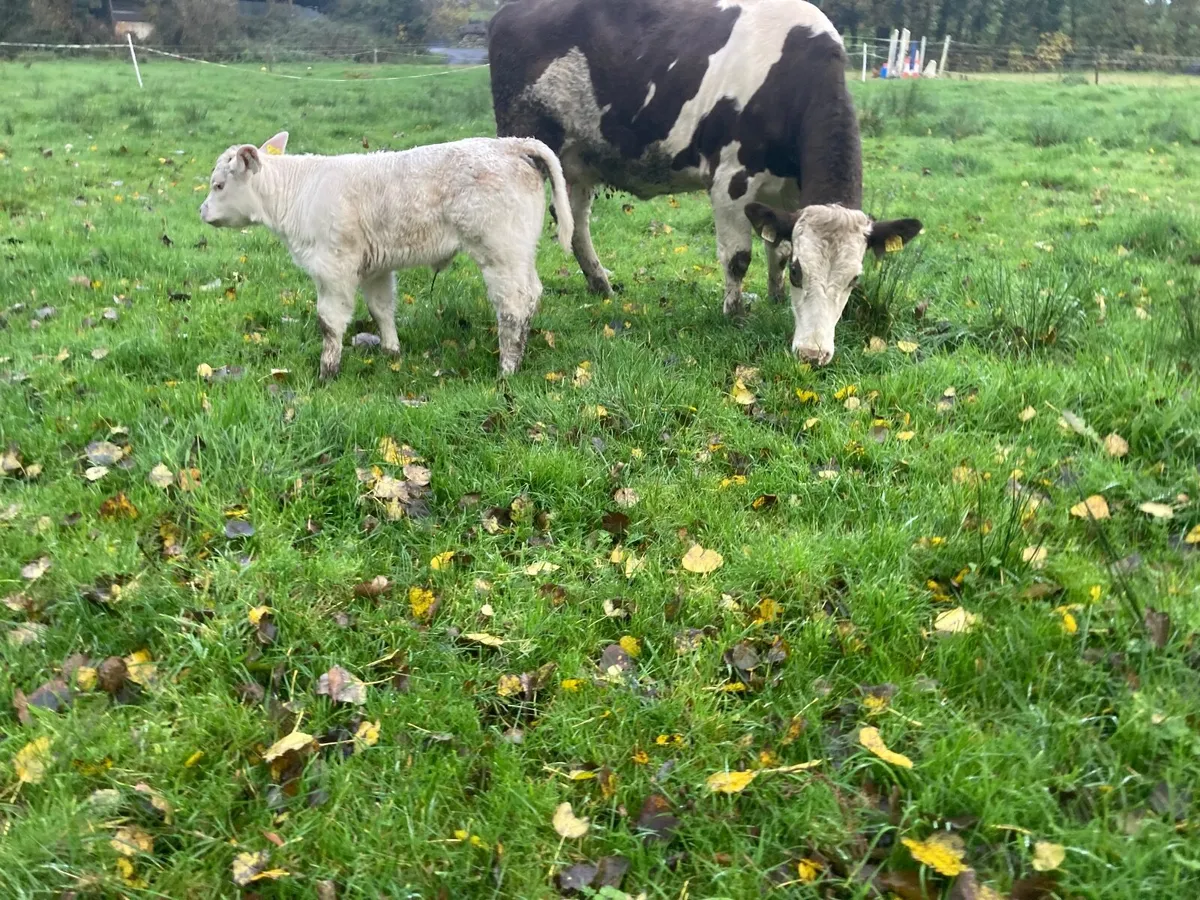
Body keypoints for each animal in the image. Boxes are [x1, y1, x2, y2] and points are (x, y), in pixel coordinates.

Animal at [199, 132, 573, 378]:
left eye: (218, 185)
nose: (201, 211)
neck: (302, 192)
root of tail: (513, 143)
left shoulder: (333, 267)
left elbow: (329, 322)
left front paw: (327, 371)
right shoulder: (375, 268)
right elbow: (381, 309)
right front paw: (391, 352)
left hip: (500, 252)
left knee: (512, 305)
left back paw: (507, 368)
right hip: (520, 252)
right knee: (531, 294)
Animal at [488, 0, 923, 365]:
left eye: (855, 279)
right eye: (803, 272)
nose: (813, 354)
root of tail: (510, 10)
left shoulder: (790, 192)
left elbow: (778, 247)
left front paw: (776, 296)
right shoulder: (731, 182)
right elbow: (739, 258)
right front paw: (736, 314)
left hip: (580, 162)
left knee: (576, 223)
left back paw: (601, 285)